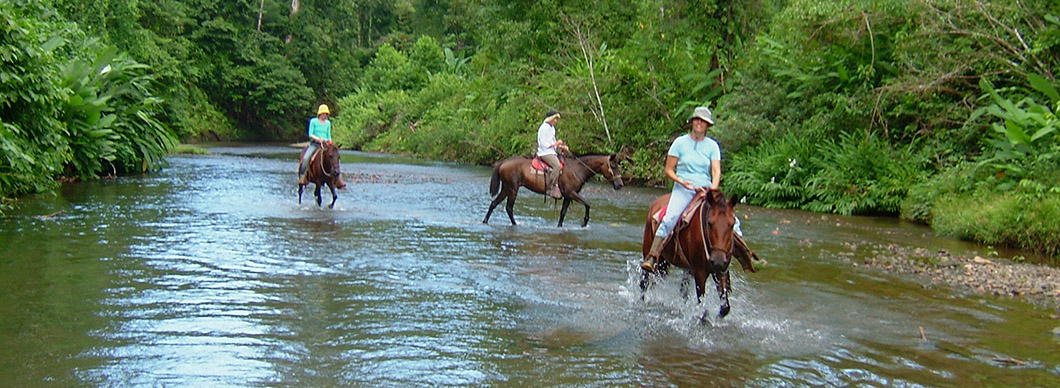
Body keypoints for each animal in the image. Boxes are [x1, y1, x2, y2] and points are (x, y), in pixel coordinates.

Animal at [485, 153, 623, 226]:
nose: (620, 184)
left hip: (506, 188)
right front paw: (584, 222)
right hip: (513, 189)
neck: (577, 169)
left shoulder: (568, 196)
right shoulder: (571, 193)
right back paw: (515, 224)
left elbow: (563, 212)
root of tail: (503, 163)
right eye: (613, 166)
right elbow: (587, 204)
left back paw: (485, 221)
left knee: (494, 203)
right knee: (509, 208)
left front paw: (559, 226)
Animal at [640, 189, 741, 320]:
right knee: (644, 282)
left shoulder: (721, 271)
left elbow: (725, 306)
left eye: (732, 224)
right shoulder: (700, 272)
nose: (718, 260)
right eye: (709, 223)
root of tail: (655, 203)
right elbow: (702, 304)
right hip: (649, 253)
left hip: (665, 262)